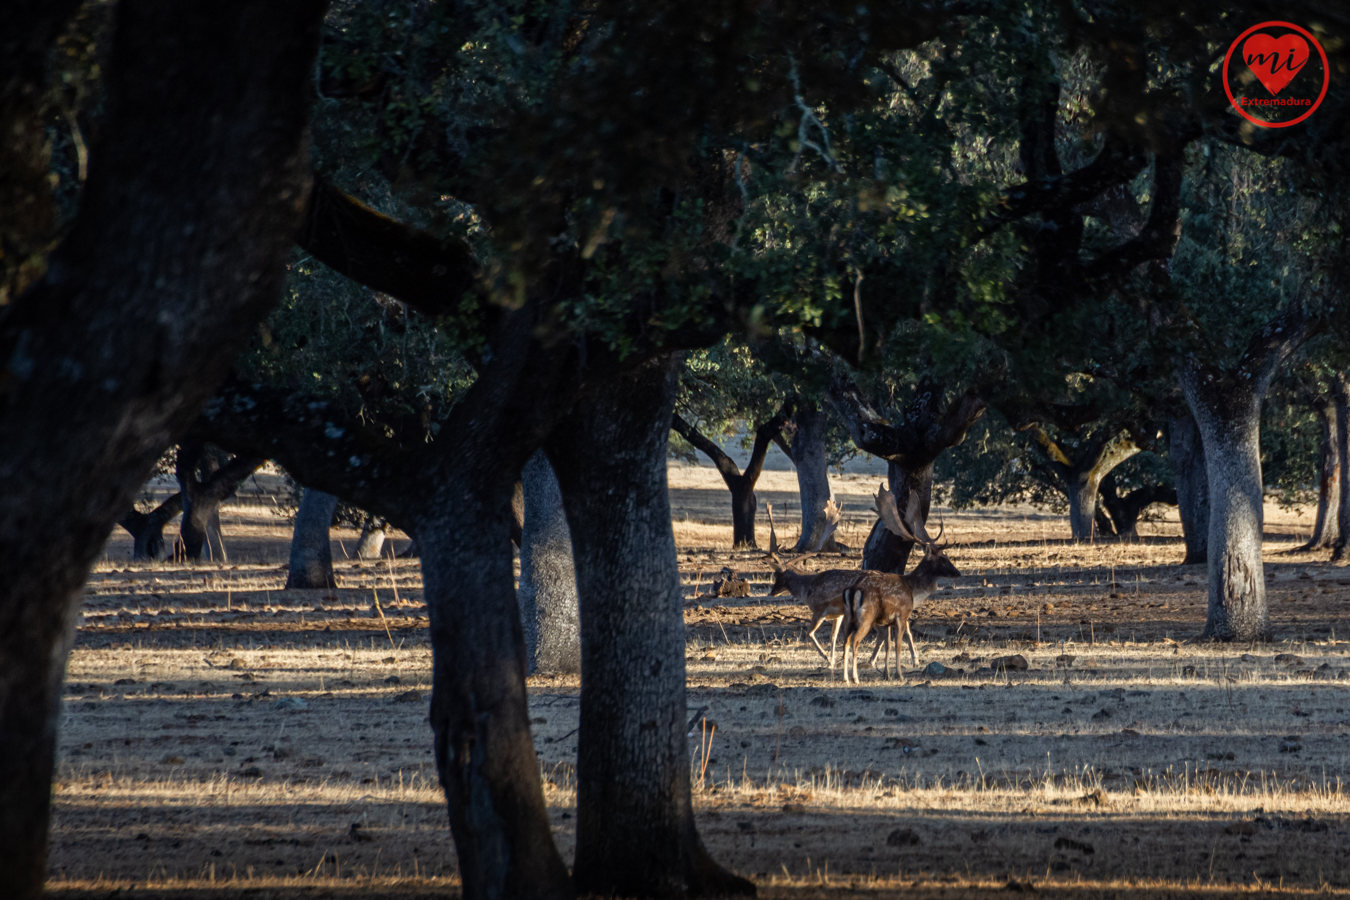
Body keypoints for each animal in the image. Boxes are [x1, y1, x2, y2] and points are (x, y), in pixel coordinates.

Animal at [837, 485, 966, 682]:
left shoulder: (886, 622)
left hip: (848, 617)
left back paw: (845, 678)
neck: (912, 589)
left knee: (845, 641)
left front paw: (887, 674)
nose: (957, 573)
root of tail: (853, 590)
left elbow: (888, 645)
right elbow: (898, 644)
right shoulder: (902, 615)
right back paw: (856, 677)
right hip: (865, 616)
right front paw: (899, 674)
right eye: (943, 559)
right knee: (855, 641)